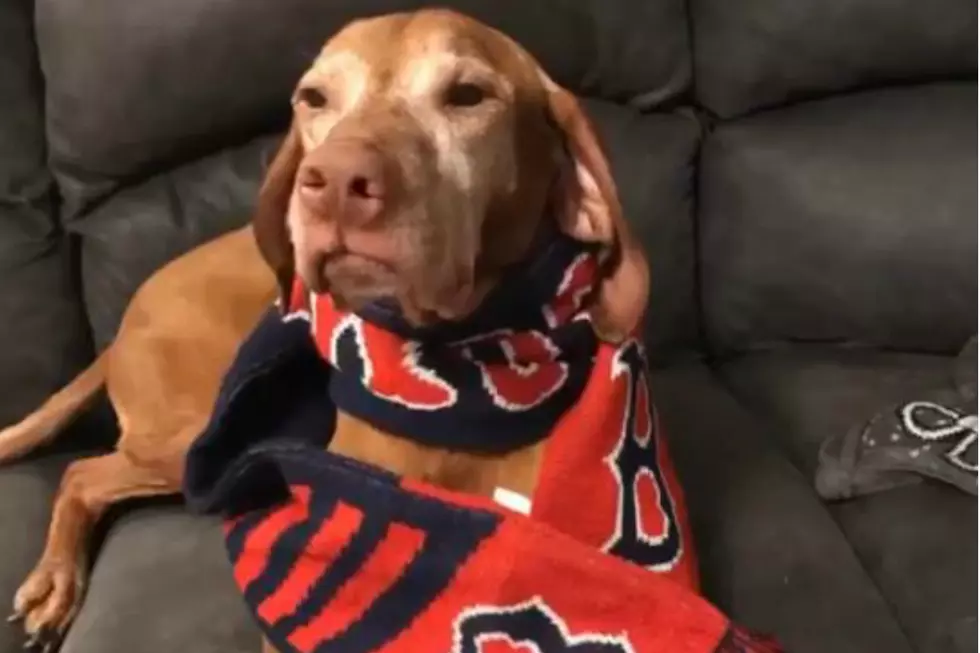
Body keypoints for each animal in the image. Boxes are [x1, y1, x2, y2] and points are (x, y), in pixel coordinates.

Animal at [3, 6, 668, 652]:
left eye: (468, 95)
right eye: (314, 98)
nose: (336, 183)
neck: (458, 377)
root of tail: (122, 324)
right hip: (196, 430)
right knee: (82, 473)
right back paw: (57, 581)